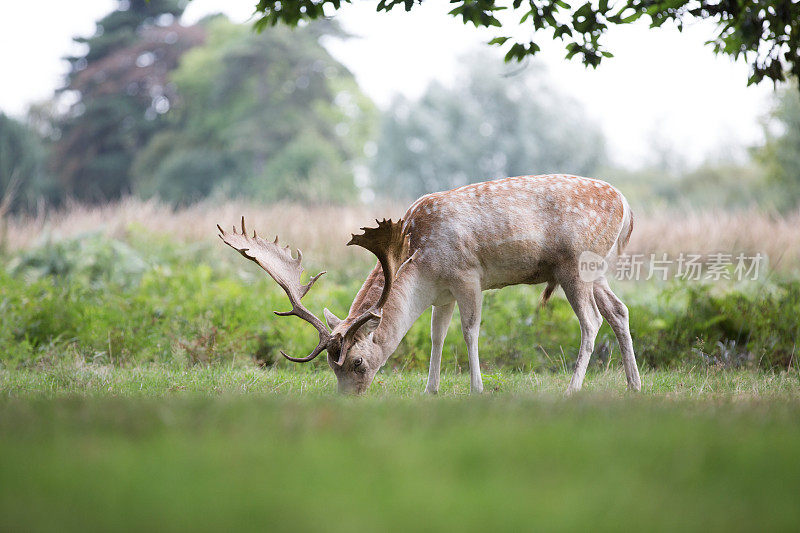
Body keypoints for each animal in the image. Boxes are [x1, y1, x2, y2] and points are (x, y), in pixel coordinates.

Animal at [219, 172, 644, 392]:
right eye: (330, 366)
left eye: (356, 362)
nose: (347, 399)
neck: (421, 266)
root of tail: (627, 206)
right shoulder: (443, 293)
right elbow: (437, 335)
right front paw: (431, 389)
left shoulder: (469, 275)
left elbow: (470, 331)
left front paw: (477, 389)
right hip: (596, 270)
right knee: (620, 310)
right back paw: (634, 385)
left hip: (576, 264)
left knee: (592, 321)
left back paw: (572, 389)